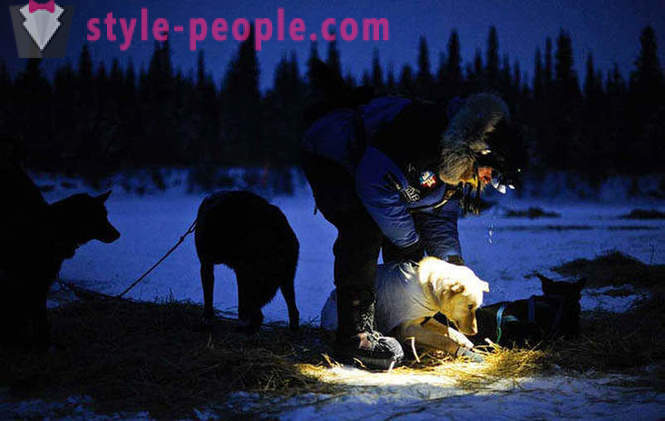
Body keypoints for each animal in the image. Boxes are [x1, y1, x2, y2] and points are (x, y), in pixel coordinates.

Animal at [0, 162, 119, 346]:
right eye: (99, 217)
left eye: (106, 215)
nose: (118, 234)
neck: (53, 228)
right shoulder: (28, 278)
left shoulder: (42, 280)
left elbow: (38, 315)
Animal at [195, 190, 298, 332]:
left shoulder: (234, 269)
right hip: (284, 279)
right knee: (292, 308)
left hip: (256, 279)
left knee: (259, 312)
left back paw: (248, 327)